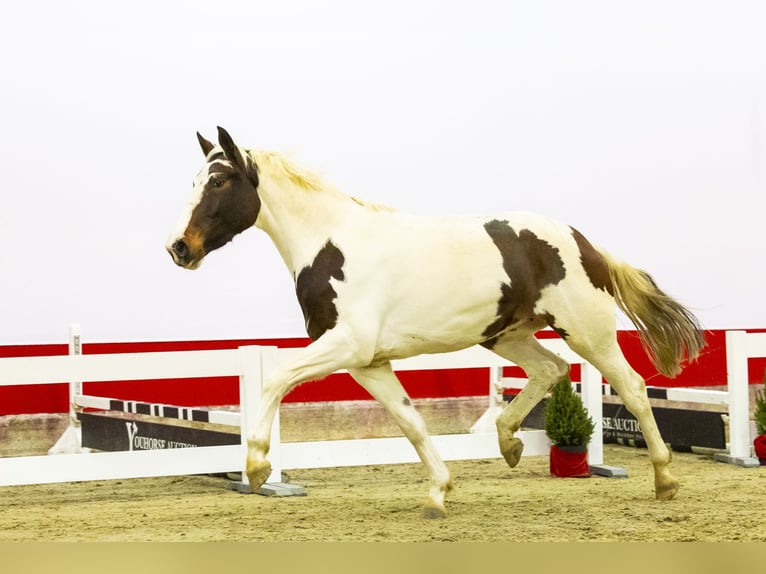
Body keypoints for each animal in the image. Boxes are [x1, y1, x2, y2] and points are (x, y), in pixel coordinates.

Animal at [168, 127, 708, 520]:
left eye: (218, 181)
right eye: (193, 182)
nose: (179, 248)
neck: (330, 244)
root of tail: (584, 242)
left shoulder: (346, 346)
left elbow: (275, 379)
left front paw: (257, 466)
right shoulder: (367, 362)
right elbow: (411, 421)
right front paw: (438, 494)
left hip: (587, 333)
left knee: (632, 387)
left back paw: (665, 479)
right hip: (507, 336)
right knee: (551, 370)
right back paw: (510, 441)